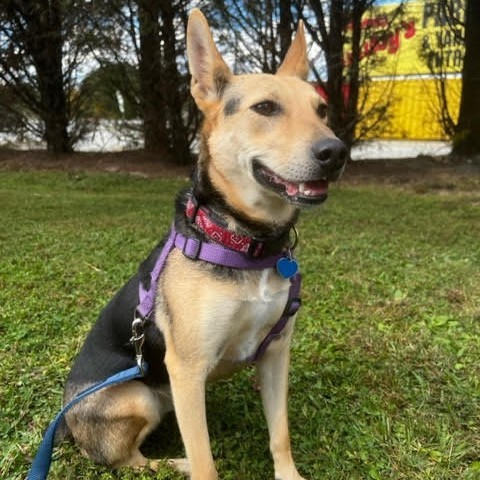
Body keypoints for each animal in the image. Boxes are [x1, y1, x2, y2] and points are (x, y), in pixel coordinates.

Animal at [62, 8, 346, 480]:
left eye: (322, 109)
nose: (336, 152)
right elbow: (205, 461)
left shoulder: (276, 353)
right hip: (139, 396)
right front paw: (194, 461)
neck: (247, 239)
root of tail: (66, 423)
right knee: (129, 459)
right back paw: (173, 461)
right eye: (265, 107)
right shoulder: (187, 369)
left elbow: (280, 433)